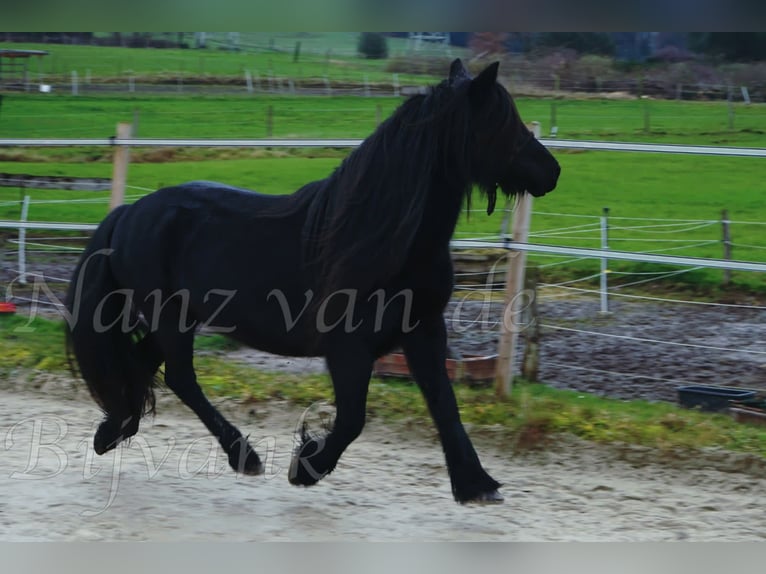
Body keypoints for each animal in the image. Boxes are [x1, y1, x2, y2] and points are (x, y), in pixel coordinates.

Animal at [65, 59, 560, 504]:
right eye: (502, 122)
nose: (552, 170)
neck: (386, 236)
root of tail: (129, 212)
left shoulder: (423, 330)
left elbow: (444, 404)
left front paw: (477, 485)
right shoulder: (347, 348)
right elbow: (353, 419)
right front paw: (306, 468)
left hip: (178, 317)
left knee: (143, 363)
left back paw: (112, 431)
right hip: (168, 316)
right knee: (181, 378)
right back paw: (244, 457)